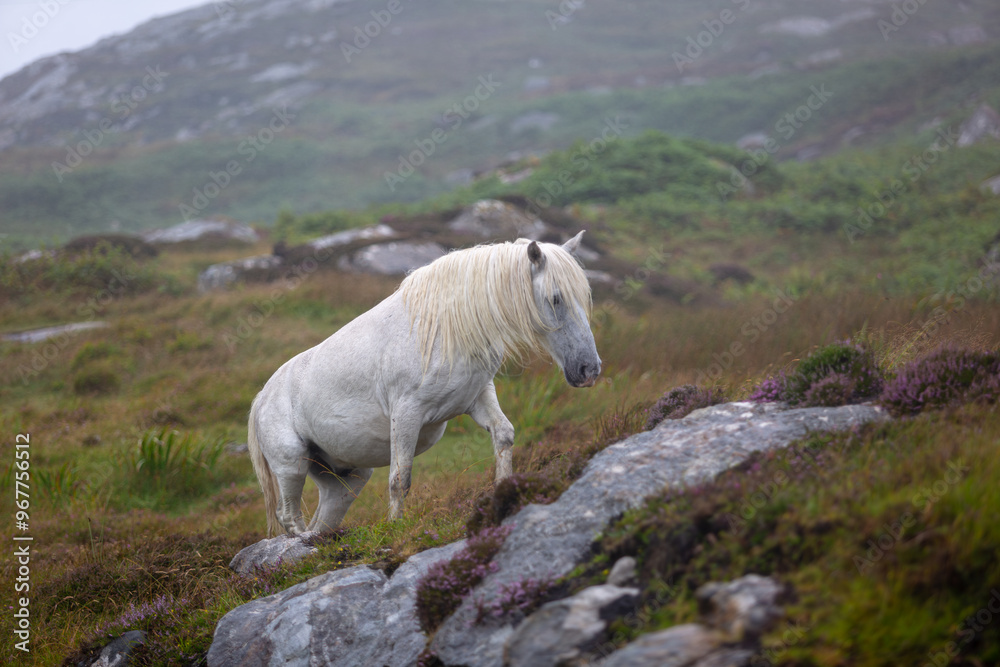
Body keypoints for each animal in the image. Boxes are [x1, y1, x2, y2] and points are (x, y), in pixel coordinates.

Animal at [247, 232, 602, 536]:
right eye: (555, 299)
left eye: (585, 296)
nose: (589, 369)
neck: (445, 327)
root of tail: (261, 397)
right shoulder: (407, 414)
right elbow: (399, 479)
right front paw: (395, 529)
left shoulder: (477, 397)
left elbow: (504, 436)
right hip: (292, 465)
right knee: (289, 518)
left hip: (346, 478)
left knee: (322, 521)